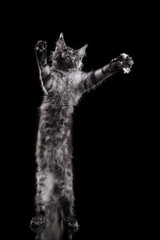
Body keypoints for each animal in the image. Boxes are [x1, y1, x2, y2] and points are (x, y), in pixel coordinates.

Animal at [30, 32, 134, 240]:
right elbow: (44, 70)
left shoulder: (82, 82)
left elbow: (100, 73)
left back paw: (71, 221)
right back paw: (38, 219)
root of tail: (54, 184)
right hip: (42, 185)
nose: (66, 54)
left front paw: (120, 63)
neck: (65, 75)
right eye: (63, 51)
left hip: (68, 187)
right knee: (42, 208)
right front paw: (41, 51)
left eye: (71, 54)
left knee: (67, 207)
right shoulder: (50, 84)